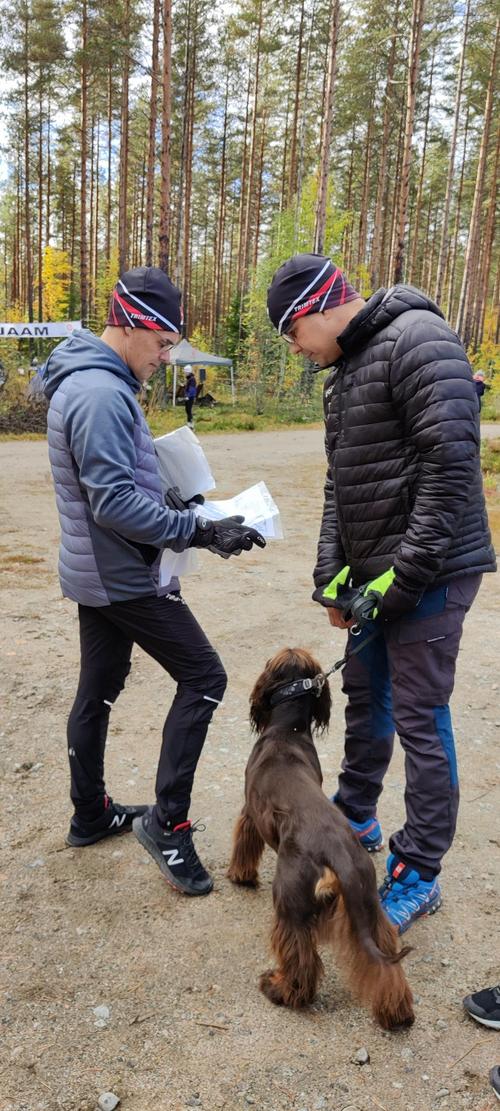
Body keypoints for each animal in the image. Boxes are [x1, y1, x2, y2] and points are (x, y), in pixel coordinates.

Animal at [227, 647, 414, 1030]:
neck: (288, 730)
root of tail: (338, 857)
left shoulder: (250, 814)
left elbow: (244, 847)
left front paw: (240, 876)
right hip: (370, 907)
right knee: (387, 962)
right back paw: (397, 1013)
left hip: (290, 904)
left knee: (302, 963)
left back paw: (279, 989)